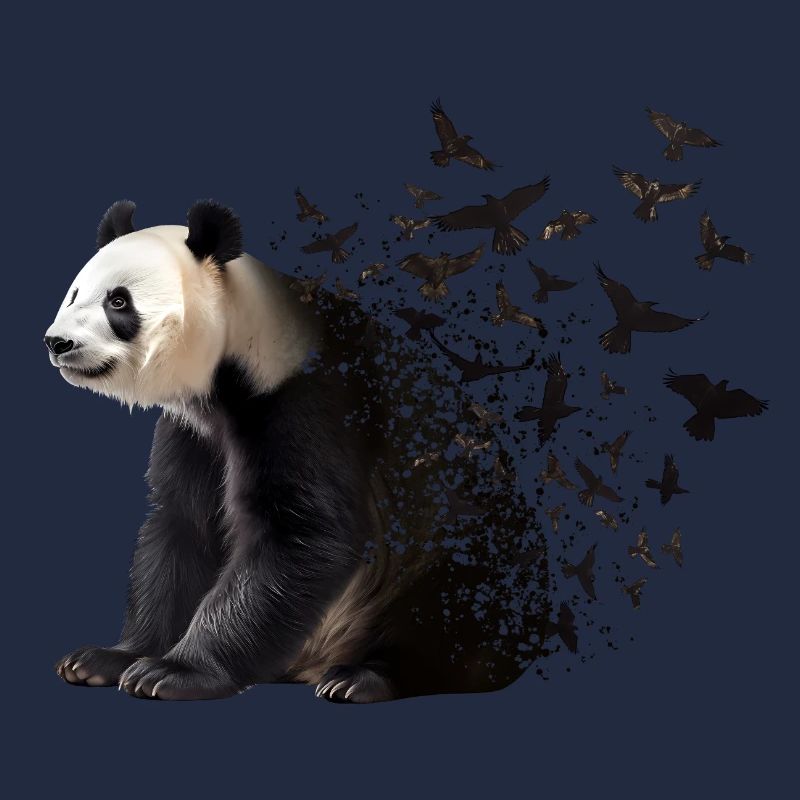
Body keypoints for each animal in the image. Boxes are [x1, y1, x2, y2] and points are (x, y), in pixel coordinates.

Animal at [45, 200, 549, 702]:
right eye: (74, 293)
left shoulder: (315, 400)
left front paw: (173, 672)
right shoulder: (194, 433)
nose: (58, 342)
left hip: (470, 545)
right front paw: (110, 658)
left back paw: (364, 677)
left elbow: (303, 533)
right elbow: (182, 529)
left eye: (118, 301)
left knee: (451, 607)